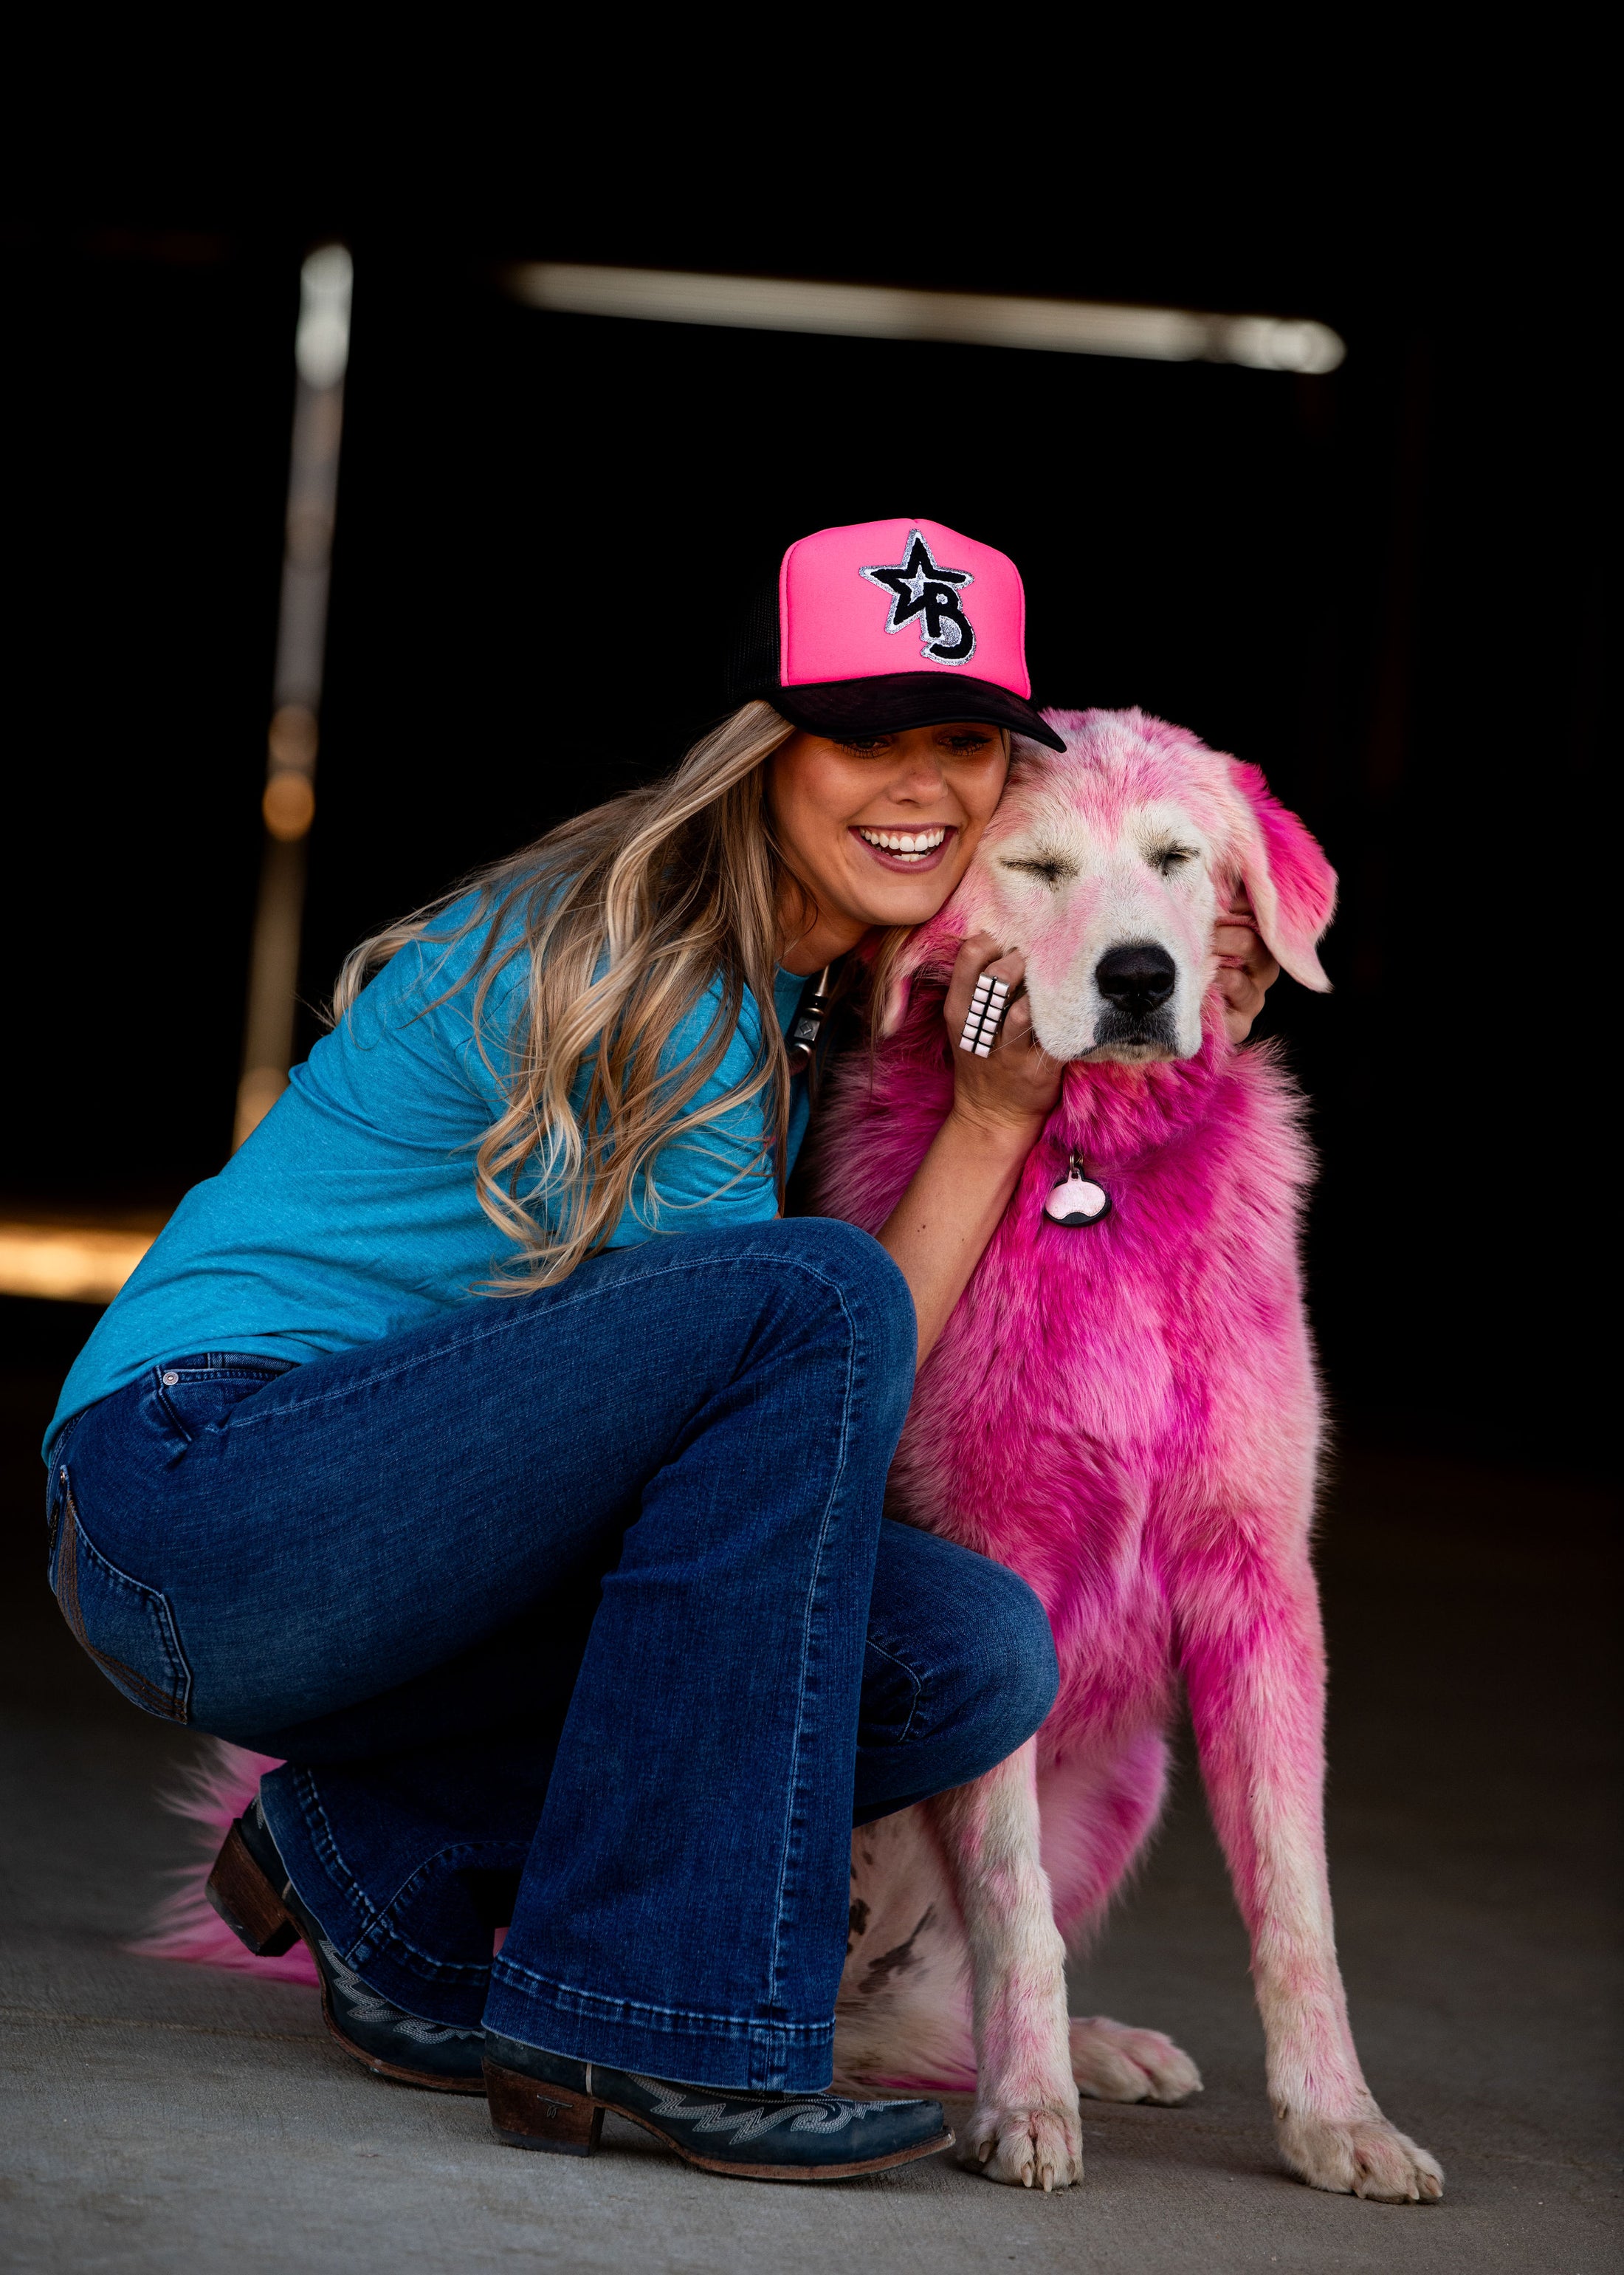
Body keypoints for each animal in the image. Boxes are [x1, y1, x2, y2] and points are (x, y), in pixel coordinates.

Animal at [814, 710, 1437, 2202]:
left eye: (1174, 859)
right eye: (1037, 867)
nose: (1143, 976)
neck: (1094, 1168)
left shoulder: (1261, 1586)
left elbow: (1298, 1910)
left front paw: (1339, 2122)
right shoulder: (1001, 1569)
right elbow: (1014, 1903)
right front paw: (1028, 2108)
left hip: (1134, 1775)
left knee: (926, 2009)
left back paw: (1096, 2050)